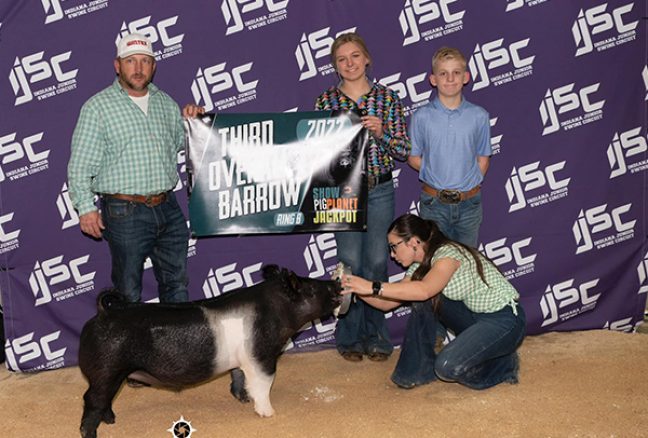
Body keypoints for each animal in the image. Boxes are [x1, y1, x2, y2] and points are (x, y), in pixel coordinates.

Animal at [79, 264, 344, 438]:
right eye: (311, 288)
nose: (336, 283)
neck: (277, 310)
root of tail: (103, 313)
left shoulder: (242, 359)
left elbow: (239, 377)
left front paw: (244, 400)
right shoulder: (262, 356)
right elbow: (264, 384)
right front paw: (268, 414)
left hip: (114, 374)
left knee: (105, 400)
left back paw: (111, 421)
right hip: (106, 370)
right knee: (91, 399)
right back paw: (91, 433)